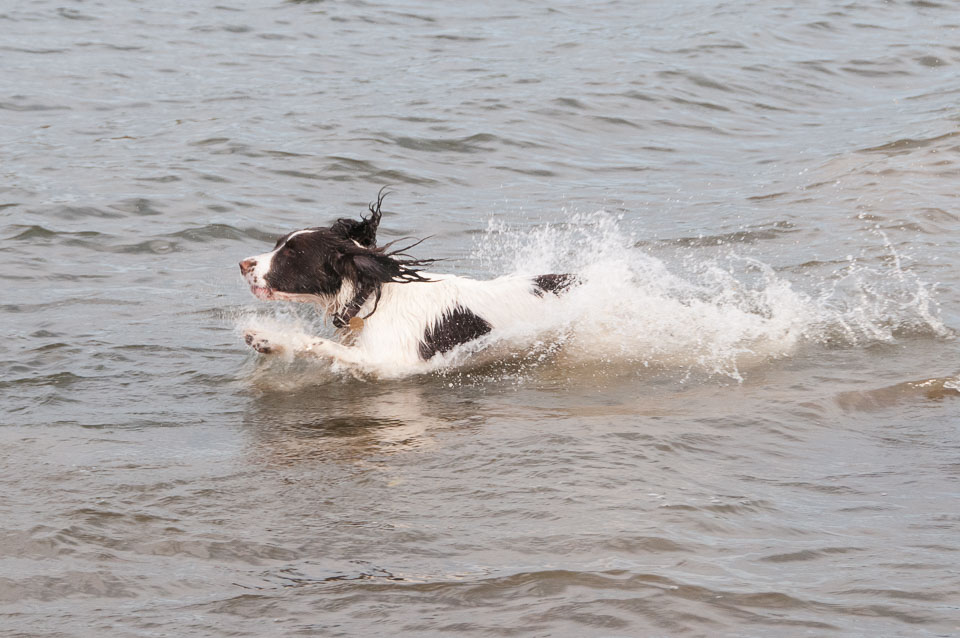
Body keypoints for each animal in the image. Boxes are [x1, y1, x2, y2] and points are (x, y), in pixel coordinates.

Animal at [240, 192, 572, 378]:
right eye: (278, 244)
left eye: (291, 253)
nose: (242, 265)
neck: (371, 296)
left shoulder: (391, 363)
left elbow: (318, 343)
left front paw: (270, 338)